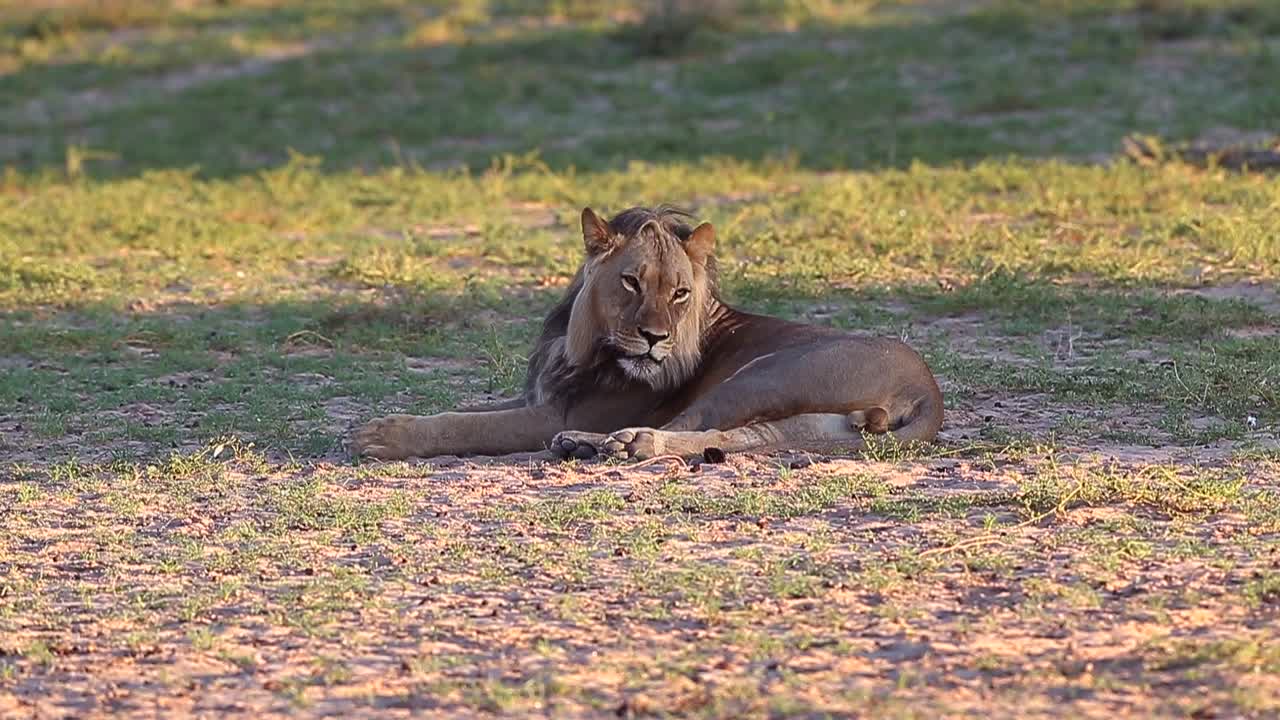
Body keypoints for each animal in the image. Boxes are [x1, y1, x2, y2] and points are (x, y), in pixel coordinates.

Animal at [351, 205, 943, 461]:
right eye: (631, 281)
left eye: (680, 292)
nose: (656, 338)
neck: (580, 345)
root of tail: (929, 391)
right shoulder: (539, 397)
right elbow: (467, 410)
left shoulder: (555, 413)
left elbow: (469, 425)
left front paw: (382, 437)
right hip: (811, 415)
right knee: (740, 437)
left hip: (765, 373)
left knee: (692, 427)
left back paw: (618, 443)